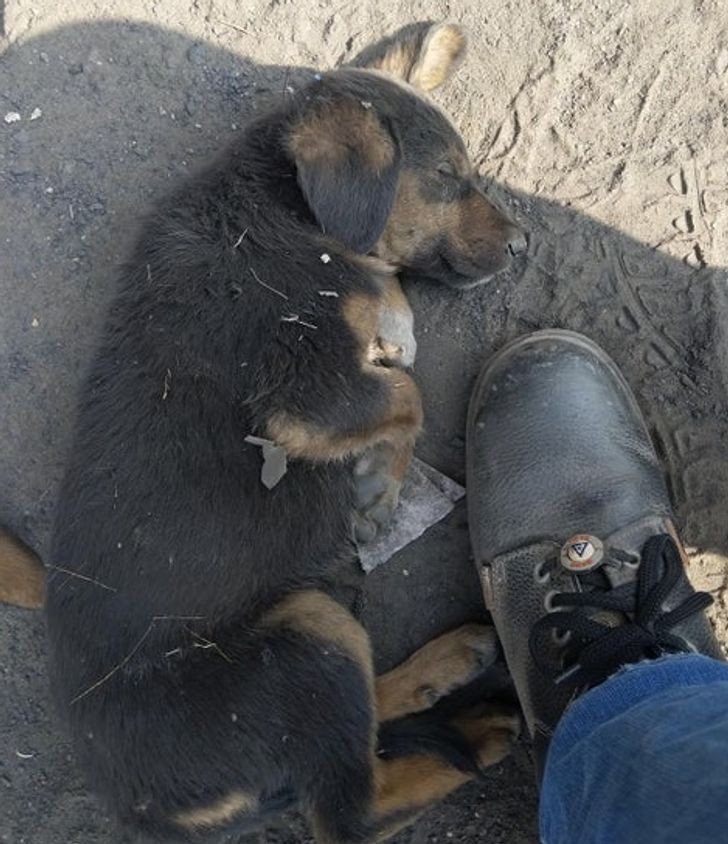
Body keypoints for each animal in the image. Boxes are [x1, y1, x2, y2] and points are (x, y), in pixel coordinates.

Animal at [38, 19, 524, 844]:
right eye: (447, 176)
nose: (522, 244)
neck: (285, 212)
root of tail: (152, 811)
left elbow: (395, 349)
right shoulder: (304, 400)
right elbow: (407, 393)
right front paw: (378, 489)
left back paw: (448, 668)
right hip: (307, 633)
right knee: (354, 808)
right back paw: (480, 733)